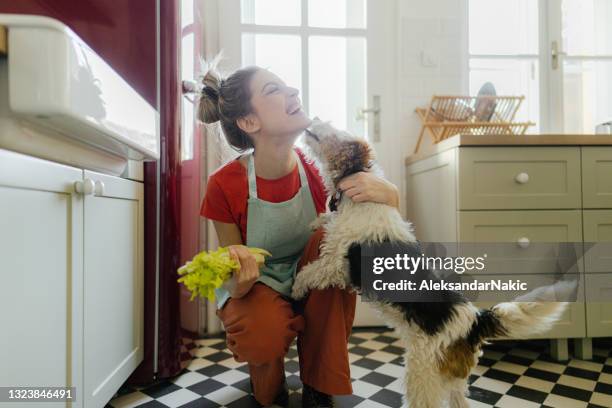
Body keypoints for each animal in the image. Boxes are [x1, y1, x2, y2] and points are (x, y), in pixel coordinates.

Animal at [292, 118, 568, 408]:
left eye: (334, 129)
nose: (314, 119)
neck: (360, 194)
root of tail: (474, 320)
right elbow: (325, 220)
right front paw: (318, 221)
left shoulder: (335, 261)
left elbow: (309, 272)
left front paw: (295, 289)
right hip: (453, 377)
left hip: (422, 371)